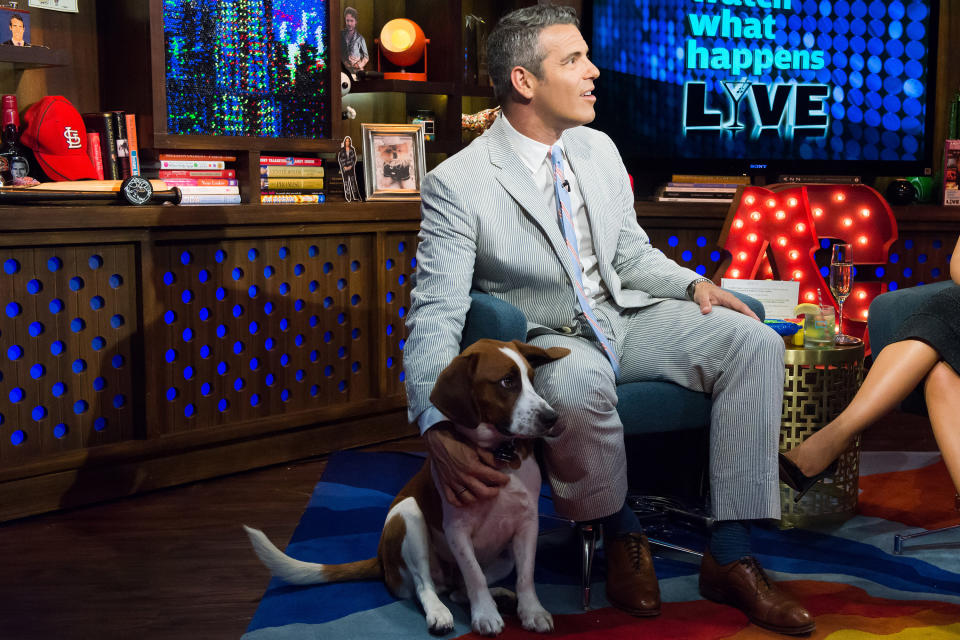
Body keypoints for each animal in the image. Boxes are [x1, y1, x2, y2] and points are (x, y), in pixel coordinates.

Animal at [244, 338, 568, 636]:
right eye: (507, 381)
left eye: (532, 379)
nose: (552, 417)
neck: (498, 454)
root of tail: (381, 559)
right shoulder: (457, 529)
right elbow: (473, 573)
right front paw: (485, 615)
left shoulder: (528, 523)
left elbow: (526, 575)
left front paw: (531, 610)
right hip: (407, 516)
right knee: (427, 586)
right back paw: (442, 612)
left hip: (503, 558)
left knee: (459, 590)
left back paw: (499, 597)